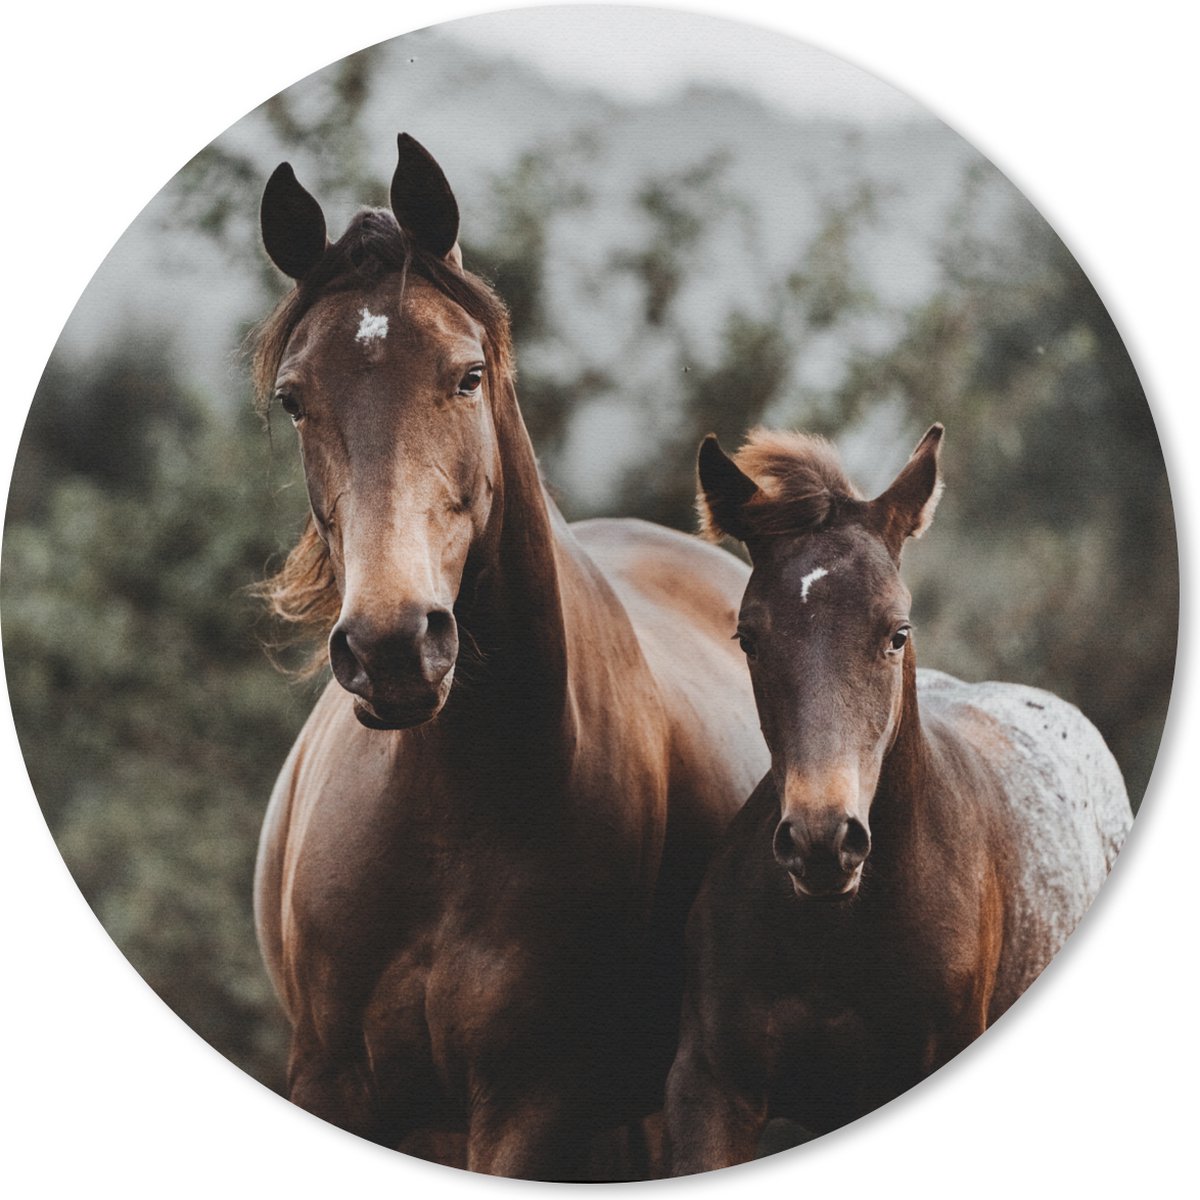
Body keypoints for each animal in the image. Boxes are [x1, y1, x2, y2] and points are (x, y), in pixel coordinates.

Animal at [249, 134, 768, 1180]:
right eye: (294, 398)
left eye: (467, 375)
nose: (393, 646)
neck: (452, 805)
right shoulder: (332, 1083)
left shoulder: (532, 1108)